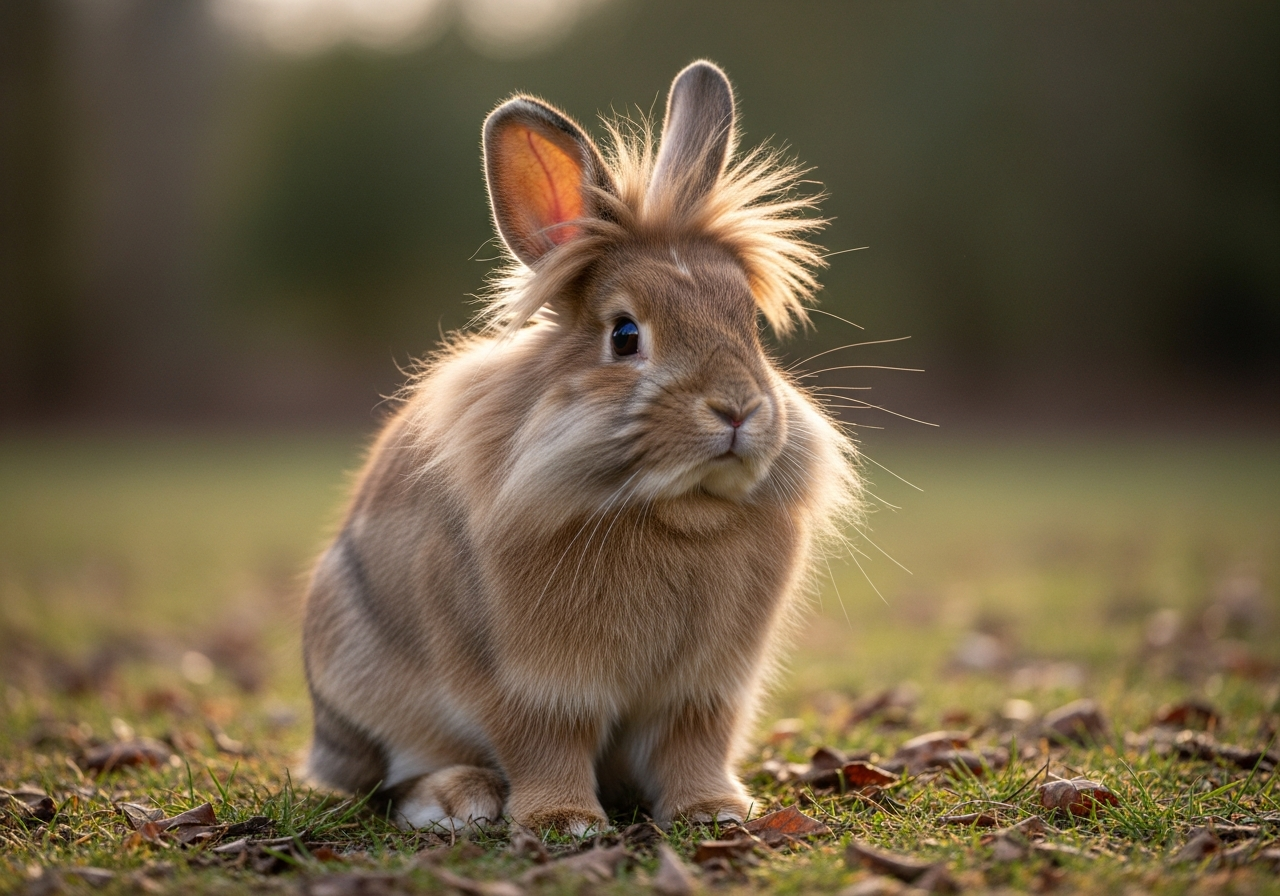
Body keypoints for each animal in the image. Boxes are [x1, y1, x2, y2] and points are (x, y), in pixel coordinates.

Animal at [302, 60, 861, 835]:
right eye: (625, 335)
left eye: (748, 324)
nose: (738, 408)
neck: (675, 509)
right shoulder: (532, 685)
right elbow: (546, 745)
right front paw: (564, 821)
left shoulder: (704, 691)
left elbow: (692, 747)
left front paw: (714, 810)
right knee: (392, 776)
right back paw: (460, 798)